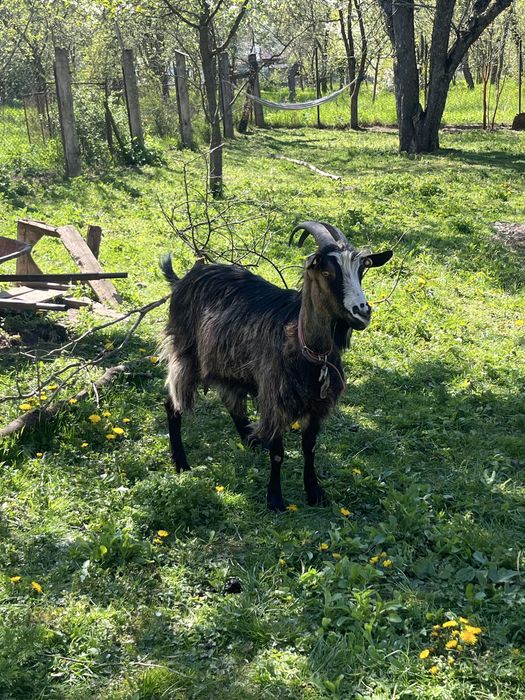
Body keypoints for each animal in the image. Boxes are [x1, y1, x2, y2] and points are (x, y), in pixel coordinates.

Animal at [160, 221, 393, 511]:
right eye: (327, 272)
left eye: (361, 271)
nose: (362, 312)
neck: (309, 351)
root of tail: (183, 279)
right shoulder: (275, 399)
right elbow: (279, 453)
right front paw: (275, 499)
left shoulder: (316, 404)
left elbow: (310, 448)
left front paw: (315, 492)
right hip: (185, 353)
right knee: (173, 402)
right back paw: (182, 463)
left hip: (229, 364)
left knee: (230, 399)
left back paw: (250, 439)